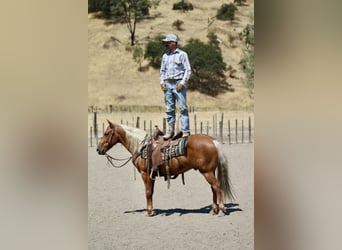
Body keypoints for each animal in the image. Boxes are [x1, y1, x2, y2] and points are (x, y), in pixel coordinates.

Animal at [97, 120, 235, 216]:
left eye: (106, 133)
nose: (98, 149)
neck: (141, 146)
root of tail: (213, 141)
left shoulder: (145, 174)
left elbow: (147, 192)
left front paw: (148, 212)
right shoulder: (151, 175)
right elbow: (151, 192)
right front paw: (151, 210)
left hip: (207, 172)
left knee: (217, 186)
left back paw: (221, 210)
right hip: (209, 171)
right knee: (213, 188)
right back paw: (213, 210)